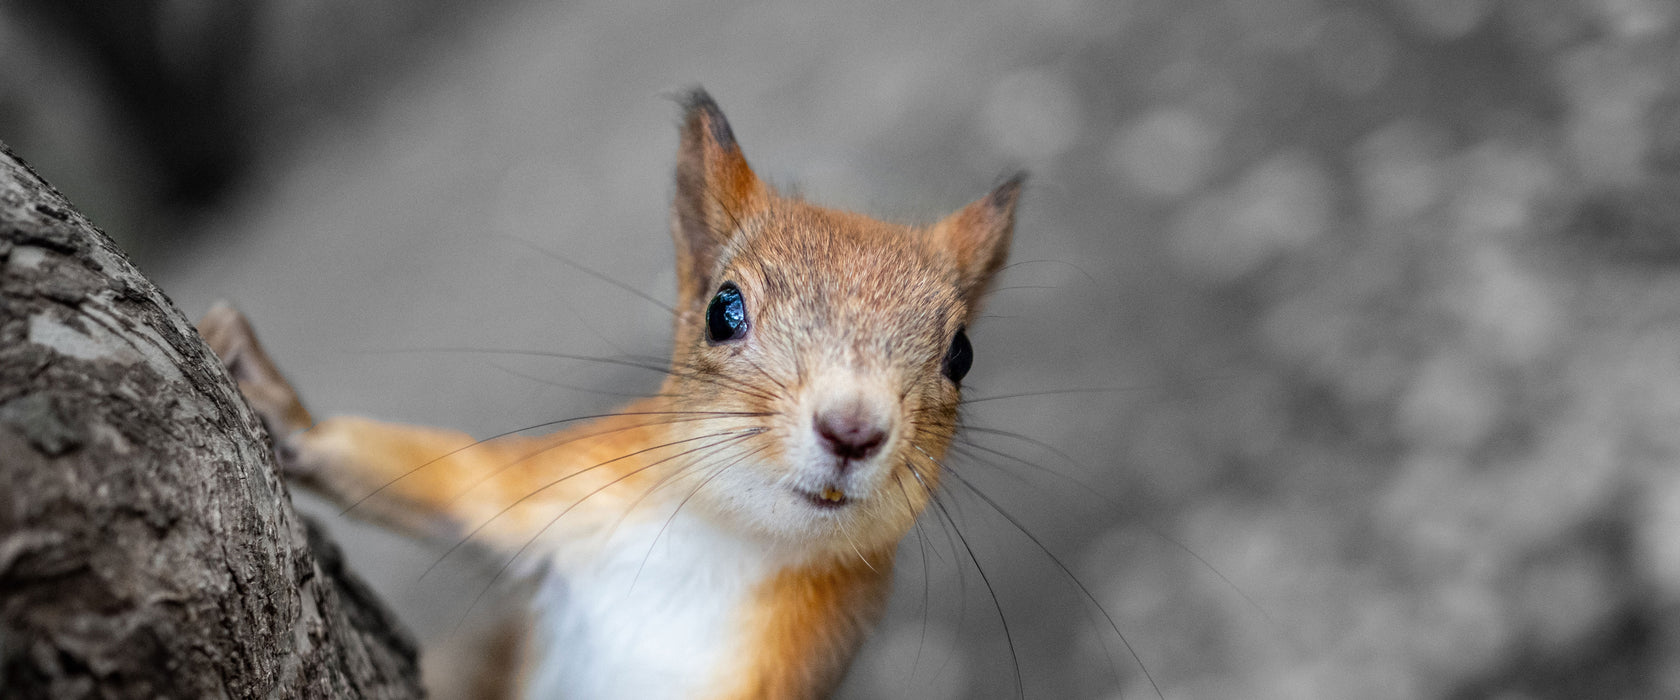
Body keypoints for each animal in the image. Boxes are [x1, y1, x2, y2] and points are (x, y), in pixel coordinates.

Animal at [198, 89, 1021, 694]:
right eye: (723, 310)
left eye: (962, 354)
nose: (852, 430)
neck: (724, 544)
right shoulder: (569, 486)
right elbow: (452, 479)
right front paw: (276, 404)